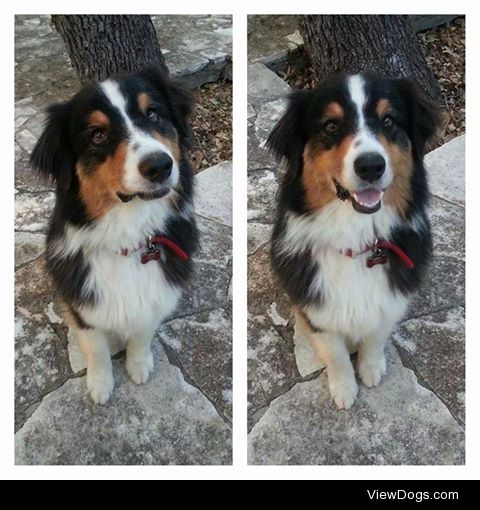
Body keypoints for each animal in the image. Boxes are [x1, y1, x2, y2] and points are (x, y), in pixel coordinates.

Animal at [30, 65, 199, 404]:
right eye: (98, 135)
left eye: (153, 113)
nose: (160, 165)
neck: (129, 237)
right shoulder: (84, 303)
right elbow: (96, 348)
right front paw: (100, 384)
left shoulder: (155, 295)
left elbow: (142, 333)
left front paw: (138, 365)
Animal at [268, 72, 440, 410]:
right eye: (331, 125)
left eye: (388, 120)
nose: (371, 165)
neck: (358, 239)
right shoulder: (317, 306)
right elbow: (335, 353)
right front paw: (344, 388)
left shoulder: (389, 299)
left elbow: (376, 337)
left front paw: (371, 370)